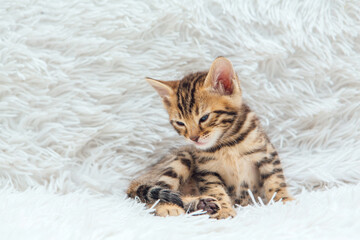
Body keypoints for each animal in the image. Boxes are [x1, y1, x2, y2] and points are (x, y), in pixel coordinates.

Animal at [128, 56, 294, 219]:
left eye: (204, 118)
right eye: (180, 123)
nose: (193, 138)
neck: (227, 143)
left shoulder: (267, 153)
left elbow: (276, 181)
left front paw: (284, 201)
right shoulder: (207, 170)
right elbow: (216, 190)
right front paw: (224, 210)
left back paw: (201, 204)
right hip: (181, 158)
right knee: (158, 194)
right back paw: (173, 206)